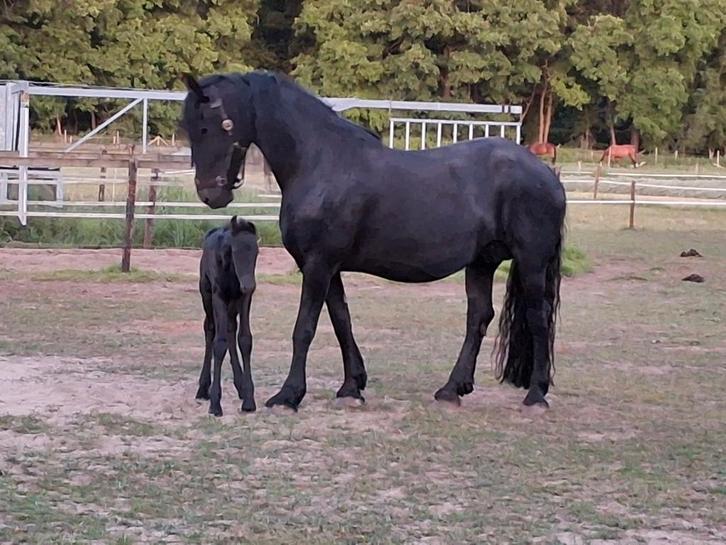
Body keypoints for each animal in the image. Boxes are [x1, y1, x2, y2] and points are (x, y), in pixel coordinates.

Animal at [197, 216, 258, 416]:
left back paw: (240, 386)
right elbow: (219, 342)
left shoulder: (244, 298)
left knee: (231, 328)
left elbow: (245, 340)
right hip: (207, 294)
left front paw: (249, 400)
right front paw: (215, 404)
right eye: (236, 251)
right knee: (210, 329)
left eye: (256, 252)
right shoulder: (219, 296)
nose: (249, 285)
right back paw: (203, 388)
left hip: (233, 303)